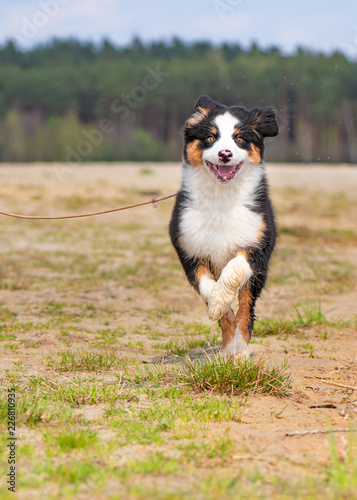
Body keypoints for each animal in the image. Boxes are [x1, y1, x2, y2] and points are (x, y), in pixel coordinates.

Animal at [169, 95, 278, 358]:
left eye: (240, 139)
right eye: (210, 137)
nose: (225, 154)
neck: (221, 199)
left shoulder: (258, 245)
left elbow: (235, 270)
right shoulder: (189, 249)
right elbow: (208, 288)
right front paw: (218, 305)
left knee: (246, 309)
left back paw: (240, 350)